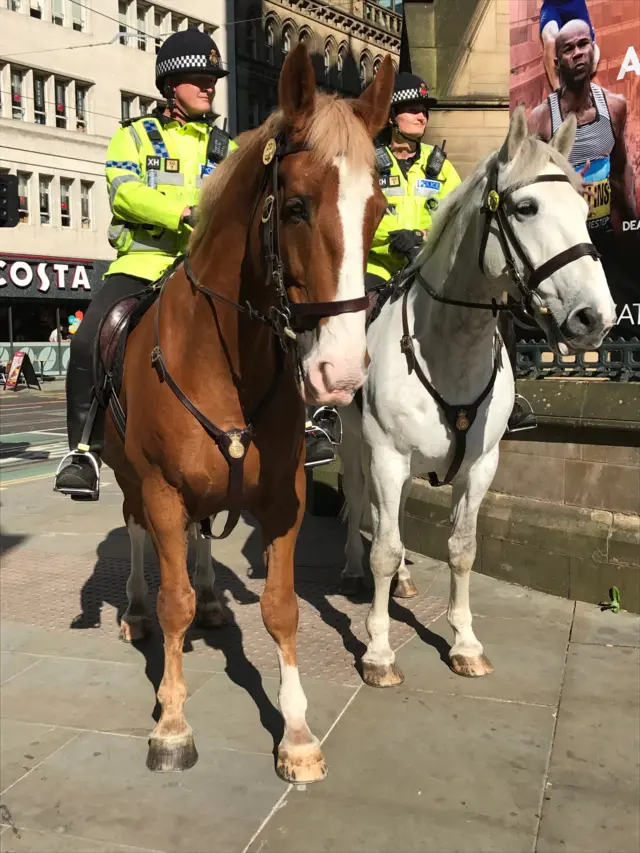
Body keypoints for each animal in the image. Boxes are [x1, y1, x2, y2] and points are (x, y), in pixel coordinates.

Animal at [99, 45, 392, 780]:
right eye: (295, 206)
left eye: (376, 211)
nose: (342, 375)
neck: (226, 359)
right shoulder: (162, 488)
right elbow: (172, 601)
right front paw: (172, 723)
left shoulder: (284, 496)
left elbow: (282, 609)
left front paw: (296, 731)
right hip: (130, 480)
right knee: (140, 539)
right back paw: (137, 610)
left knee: (201, 541)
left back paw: (210, 600)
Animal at [340, 108, 616, 684]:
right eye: (525, 207)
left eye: (586, 209)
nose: (595, 318)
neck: (451, 347)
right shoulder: (386, 456)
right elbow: (383, 546)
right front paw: (378, 651)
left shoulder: (482, 465)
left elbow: (463, 550)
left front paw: (464, 642)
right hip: (354, 439)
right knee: (360, 503)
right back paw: (354, 567)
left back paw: (405, 581)